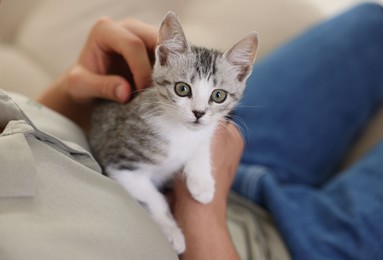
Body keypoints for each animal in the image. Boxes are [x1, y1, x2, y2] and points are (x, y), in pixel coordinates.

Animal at [88, 11, 260, 253]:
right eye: (182, 89)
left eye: (218, 95)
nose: (198, 113)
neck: (180, 132)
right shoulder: (118, 161)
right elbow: (154, 198)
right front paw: (171, 232)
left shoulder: (204, 132)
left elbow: (202, 144)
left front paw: (202, 183)